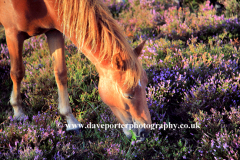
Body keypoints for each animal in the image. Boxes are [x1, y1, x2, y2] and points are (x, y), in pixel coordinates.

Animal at [0, 0, 151, 142]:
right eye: (128, 95)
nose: (145, 132)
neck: (39, 4)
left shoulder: (54, 31)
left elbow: (60, 73)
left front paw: (71, 122)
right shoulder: (12, 33)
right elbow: (17, 72)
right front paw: (18, 112)